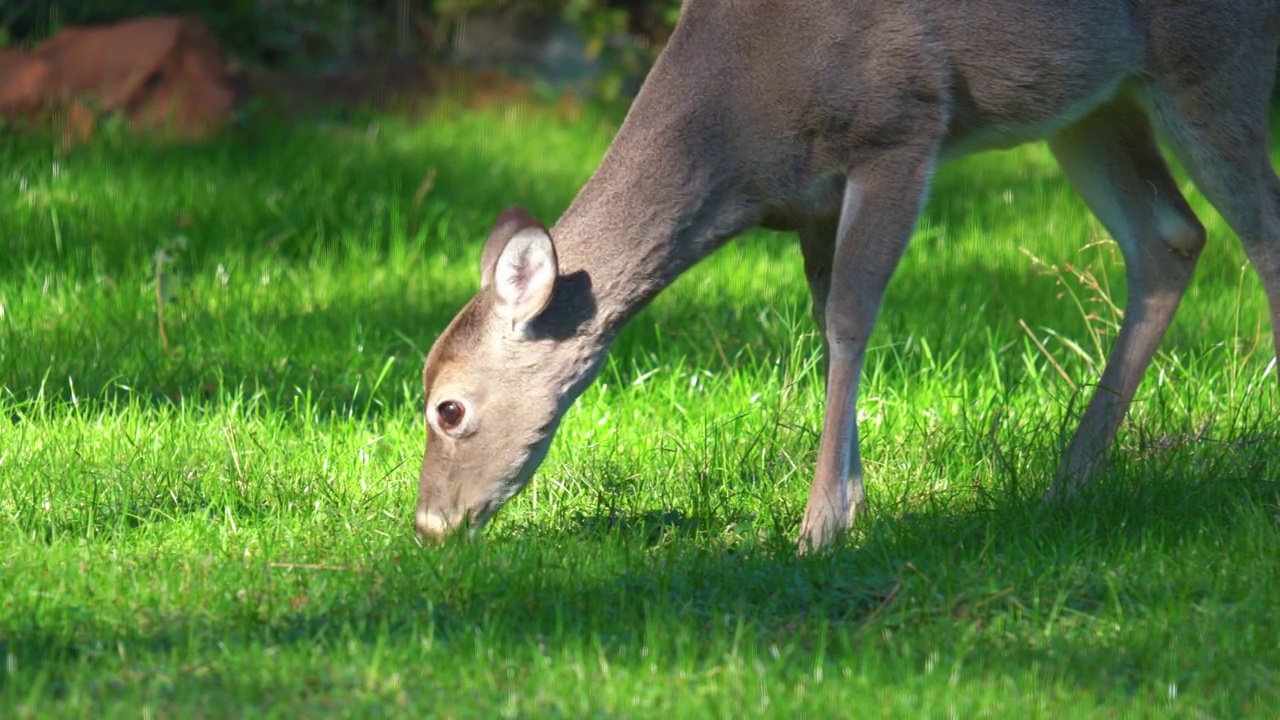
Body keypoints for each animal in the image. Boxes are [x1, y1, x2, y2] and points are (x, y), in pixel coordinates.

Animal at [417, 1, 1280, 548]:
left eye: (448, 409)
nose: (428, 526)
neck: (741, 121)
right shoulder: (812, 199)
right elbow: (827, 320)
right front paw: (853, 502)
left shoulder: (899, 125)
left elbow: (851, 318)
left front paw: (820, 524)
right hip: (1091, 103)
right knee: (1170, 236)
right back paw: (1069, 478)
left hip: (1210, 61)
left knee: (1261, 232)